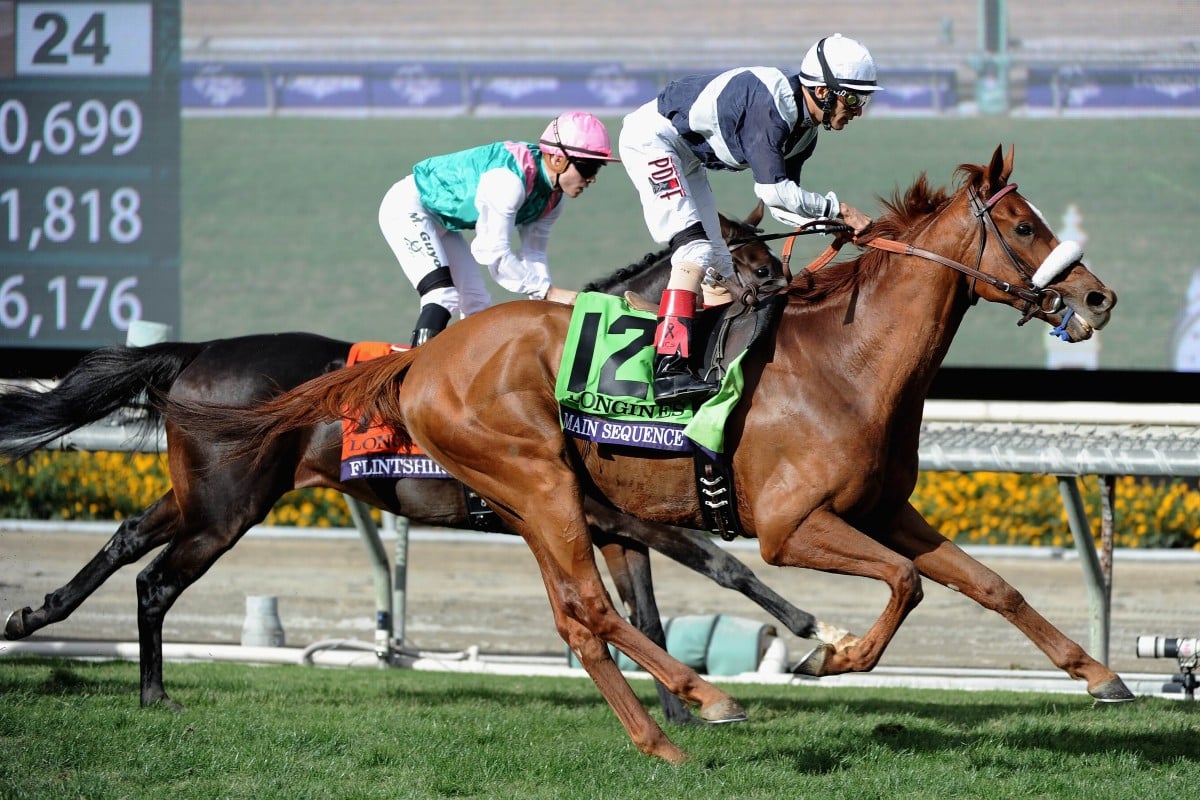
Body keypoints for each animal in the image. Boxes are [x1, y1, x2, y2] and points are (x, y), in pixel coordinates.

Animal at [0, 203, 840, 724]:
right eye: (746, 254)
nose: (788, 284)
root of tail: (198, 351)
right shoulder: (602, 509)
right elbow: (716, 562)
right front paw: (805, 626)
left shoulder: (605, 520)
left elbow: (651, 613)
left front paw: (683, 706)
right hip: (228, 507)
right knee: (155, 580)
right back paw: (150, 693)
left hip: (198, 494)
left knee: (125, 544)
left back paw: (37, 616)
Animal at [157, 145, 1123, 762]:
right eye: (1025, 227)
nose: (1098, 298)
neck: (848, 361)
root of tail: (420, 363)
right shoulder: (789, 528)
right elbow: (903, 584)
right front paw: (826, 652)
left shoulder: (885, 508)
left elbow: (989, 586)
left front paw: (1102, 677)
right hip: (531, 485)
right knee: (587, 608)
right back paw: (710, 699)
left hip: (533, 503)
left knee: (578, 618)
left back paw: (664, 733)